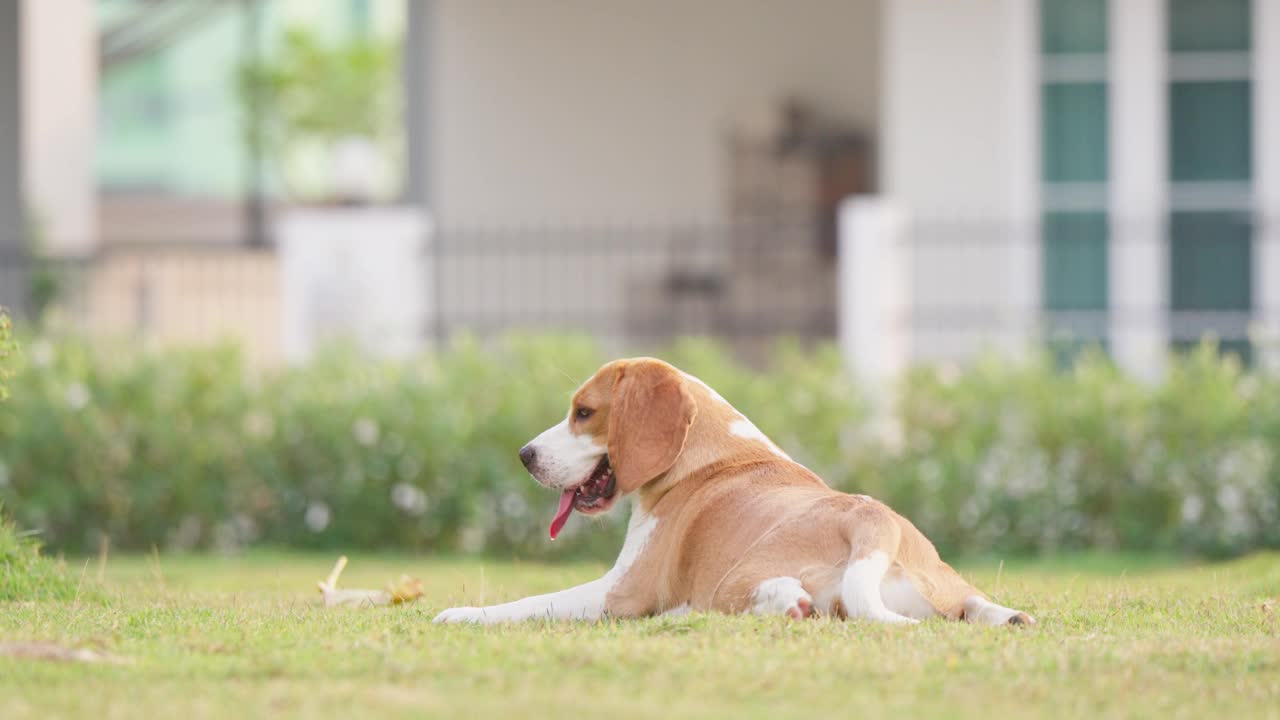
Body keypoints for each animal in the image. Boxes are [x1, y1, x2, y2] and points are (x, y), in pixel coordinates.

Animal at [435, 356, 1034, 622]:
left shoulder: (617, 593)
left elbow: (530, 601)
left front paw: (459, 614)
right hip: (943, 587)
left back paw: (780, 601)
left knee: (770, 600)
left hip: (736, 579)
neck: (712, 455)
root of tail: (872, 520)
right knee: (974, 606)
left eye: (584, 413)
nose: (524, 456)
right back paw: (1006, 616)